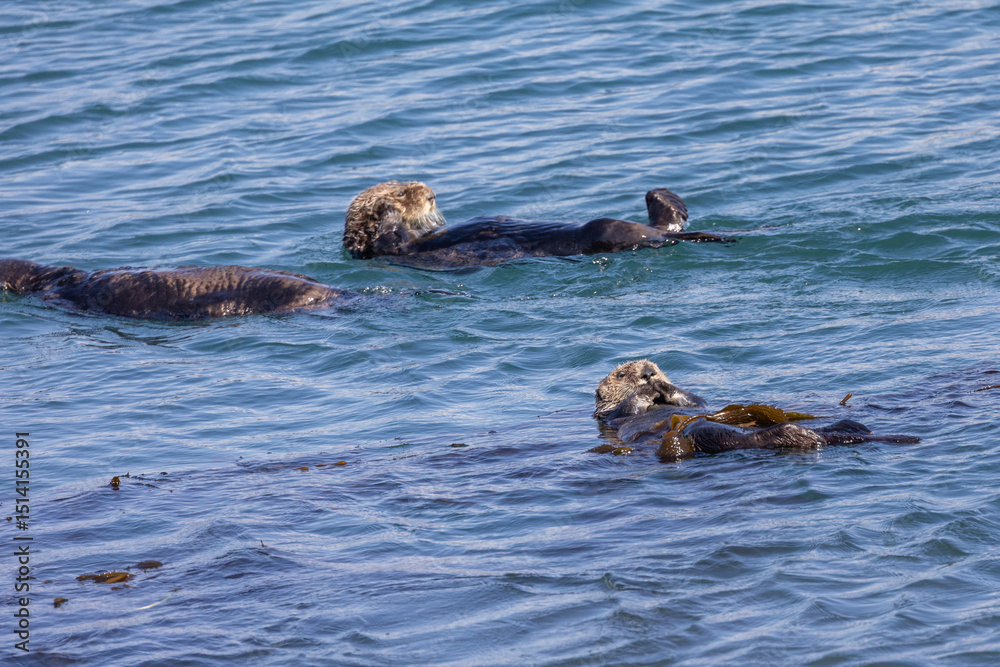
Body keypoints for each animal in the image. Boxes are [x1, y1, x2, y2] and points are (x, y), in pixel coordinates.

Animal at [592, 360, 920, 461]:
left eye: (656, 365)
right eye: (621, 374)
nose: (649, 372)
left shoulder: (697, 403)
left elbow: (697, 401)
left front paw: (665, 385)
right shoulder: (612, 417)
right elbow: (626, 410)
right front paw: (646, 390)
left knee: (845, 426)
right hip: (706, 432)